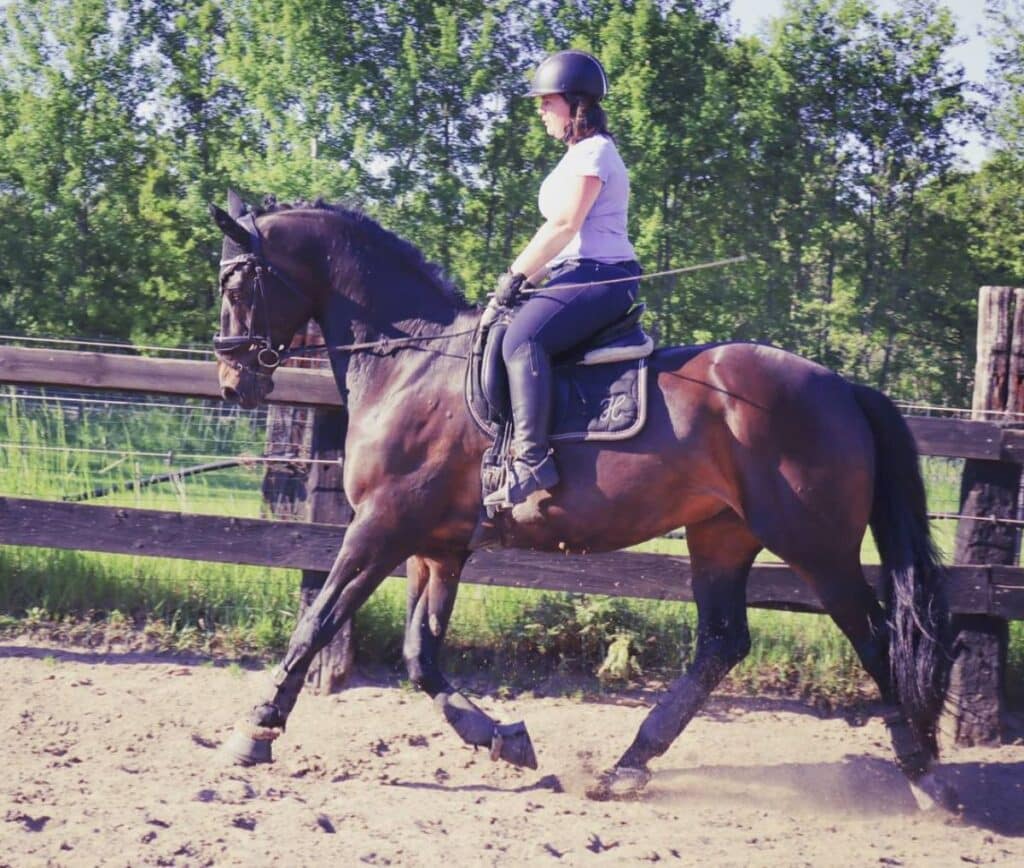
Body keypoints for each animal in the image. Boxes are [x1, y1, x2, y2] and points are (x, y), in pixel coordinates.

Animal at [209, 193, 953, 807]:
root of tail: (842, 386)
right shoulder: (435, 546)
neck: (411, 361)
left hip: (815, 547)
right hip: (721, 534)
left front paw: (256, 732)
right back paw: (628, 765)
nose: (233, 381)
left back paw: (923, 774)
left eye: (237, 283)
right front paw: (504, 739)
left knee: (876, 638)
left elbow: (318, 622)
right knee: (722, 642)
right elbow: (421, 655)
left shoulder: (381, 528)